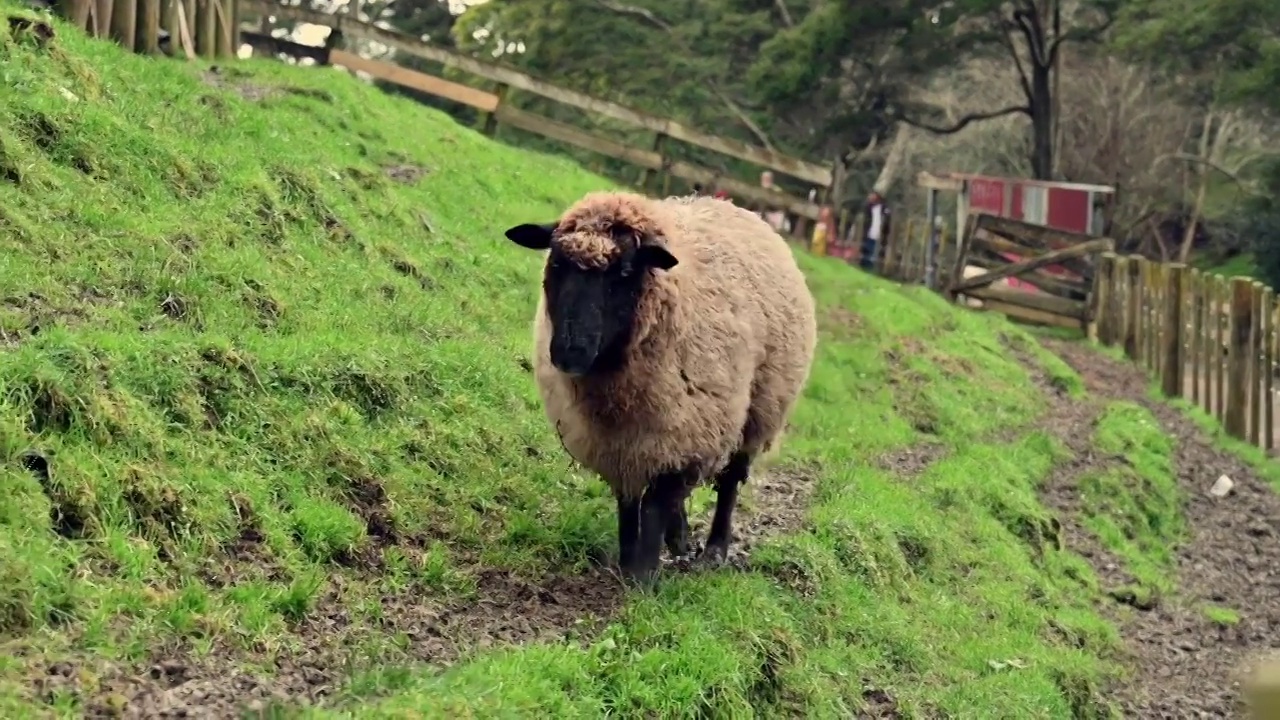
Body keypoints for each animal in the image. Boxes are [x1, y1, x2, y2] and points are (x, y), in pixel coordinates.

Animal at [504, 189, 814, 584]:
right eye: (557, 263)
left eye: (623, 271)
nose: (569, 353)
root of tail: (737, 207)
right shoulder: (622, 442)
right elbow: (629, 503)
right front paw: (627, 561)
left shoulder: (684, 428)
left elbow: (654, 504)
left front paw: (644, 576)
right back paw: (679, 538)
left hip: (758, 409)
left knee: (729, 481)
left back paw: (715, 549)